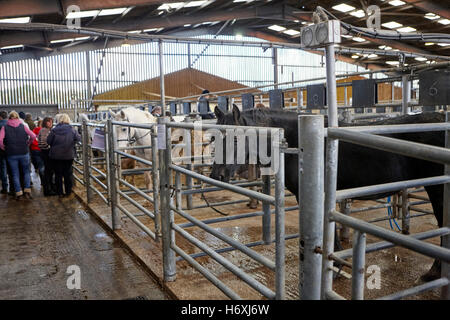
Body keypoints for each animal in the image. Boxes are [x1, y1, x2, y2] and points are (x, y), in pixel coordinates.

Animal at [211, 106, 446, 282]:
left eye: (235, 140)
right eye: (214, 140)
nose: (217, 175)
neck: (298, 142)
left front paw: (334, 268)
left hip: (438, 190)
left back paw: (434, 271)